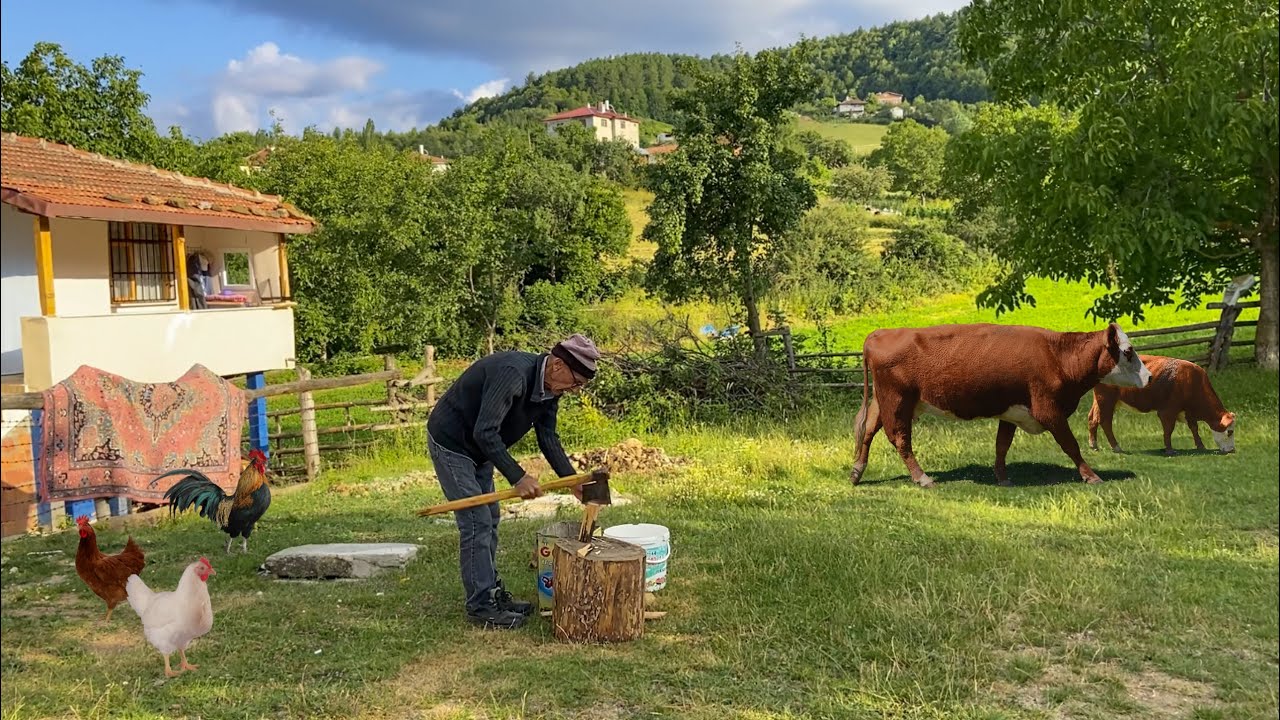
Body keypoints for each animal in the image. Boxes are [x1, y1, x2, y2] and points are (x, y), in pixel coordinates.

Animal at [849, 320, 1152, 484]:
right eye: (1128, 352)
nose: (1149, 377)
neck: (1057, 356)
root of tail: (880, 333)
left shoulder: (1011, 413)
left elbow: (1002, 445)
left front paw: (1002, 477)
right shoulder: (1049, 410)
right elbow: (1070, 445)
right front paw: (1091, 475)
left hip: (883, 401)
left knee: (868, 431)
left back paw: (856, 472)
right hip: (898, 401)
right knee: (900, 439)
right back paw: (922, 478)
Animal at [1085, 353, 1233, 453]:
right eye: (1230, 432)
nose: (1232, 450)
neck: (1191, 380)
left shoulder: (1188, 412)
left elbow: (1194, 428)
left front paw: (1200, 446)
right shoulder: (1167, 411)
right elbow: (1168, 430)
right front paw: (1169, 449)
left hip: (1100, 401)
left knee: (1093, 418)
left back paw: (1094, 445)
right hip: (1106, 400)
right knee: (1105, 422)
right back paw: (1116, 447)